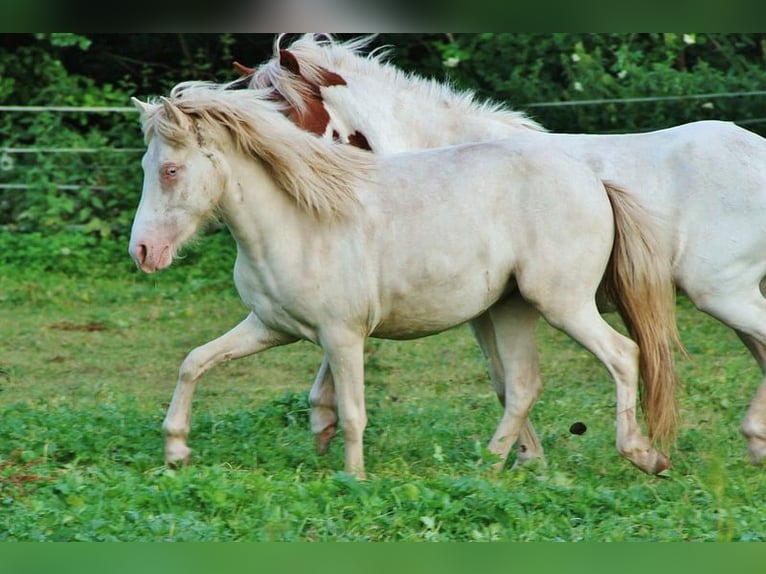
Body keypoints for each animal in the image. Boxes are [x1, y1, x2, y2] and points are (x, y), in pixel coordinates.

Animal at [129, 81, 680, 476]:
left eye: (171, 170)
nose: (144, 252)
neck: (297, 222)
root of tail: (593, 179)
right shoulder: (271, 327)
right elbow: (195, 362)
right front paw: (176, 452)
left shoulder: (342, 335)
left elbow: (353, 410)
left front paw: (353, 478)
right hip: (510, 308)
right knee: (522, 384)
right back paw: (491, 466)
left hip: (561, 303)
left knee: (623, 355)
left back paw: (642, 455)